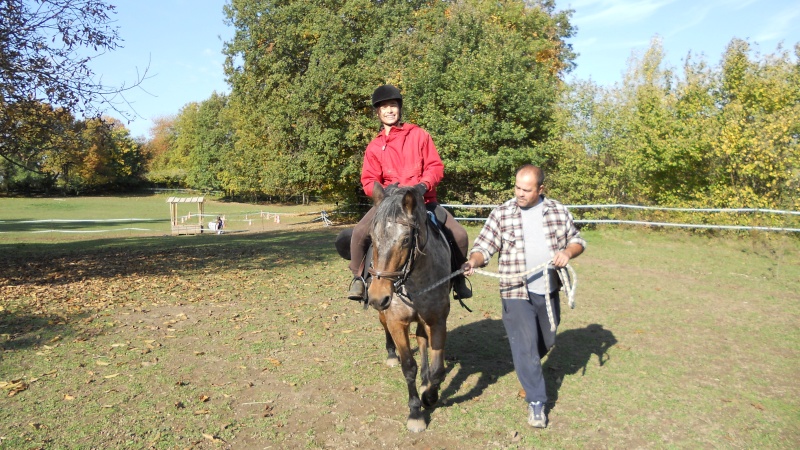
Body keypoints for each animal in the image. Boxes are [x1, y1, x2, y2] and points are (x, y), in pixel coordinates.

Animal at [368, 183, 454, 432]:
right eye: (372, 238)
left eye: (406, 240)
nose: (377, 297)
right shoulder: (397, 322)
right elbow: (408, 366)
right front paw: (415, 412)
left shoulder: (437, 320)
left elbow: (437, 368)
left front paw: (430, 396)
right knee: (383, 324)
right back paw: (390, 354)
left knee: (422, 339)